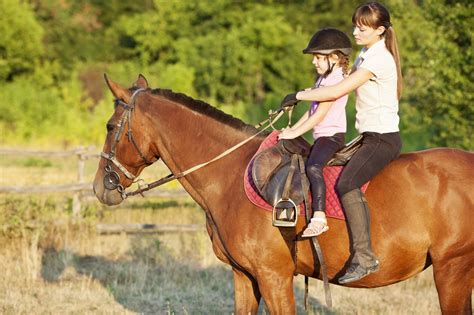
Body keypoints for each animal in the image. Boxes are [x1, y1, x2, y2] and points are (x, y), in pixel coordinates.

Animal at [93, 75, 474, 314]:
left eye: (111, 127)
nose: (100, 187)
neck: (231, 176)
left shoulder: (274, 277)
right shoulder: (244, 277)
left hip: (452, 269)